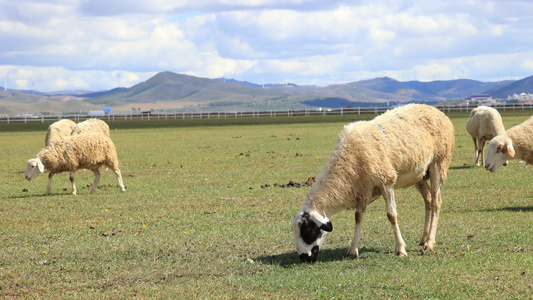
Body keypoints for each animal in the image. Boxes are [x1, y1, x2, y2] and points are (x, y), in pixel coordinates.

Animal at [290, 103, 454, 262]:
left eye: (307, 229)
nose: (304, 258)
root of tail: (437, 111)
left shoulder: (386, 182)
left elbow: (391, 215)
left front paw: (400, 249)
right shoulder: (362, 188)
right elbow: (358, 217)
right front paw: (353, 250)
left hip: (438, 163)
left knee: (436, 202)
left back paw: (429, 243)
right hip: (419, 175)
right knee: (428, 200)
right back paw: (423, 238)